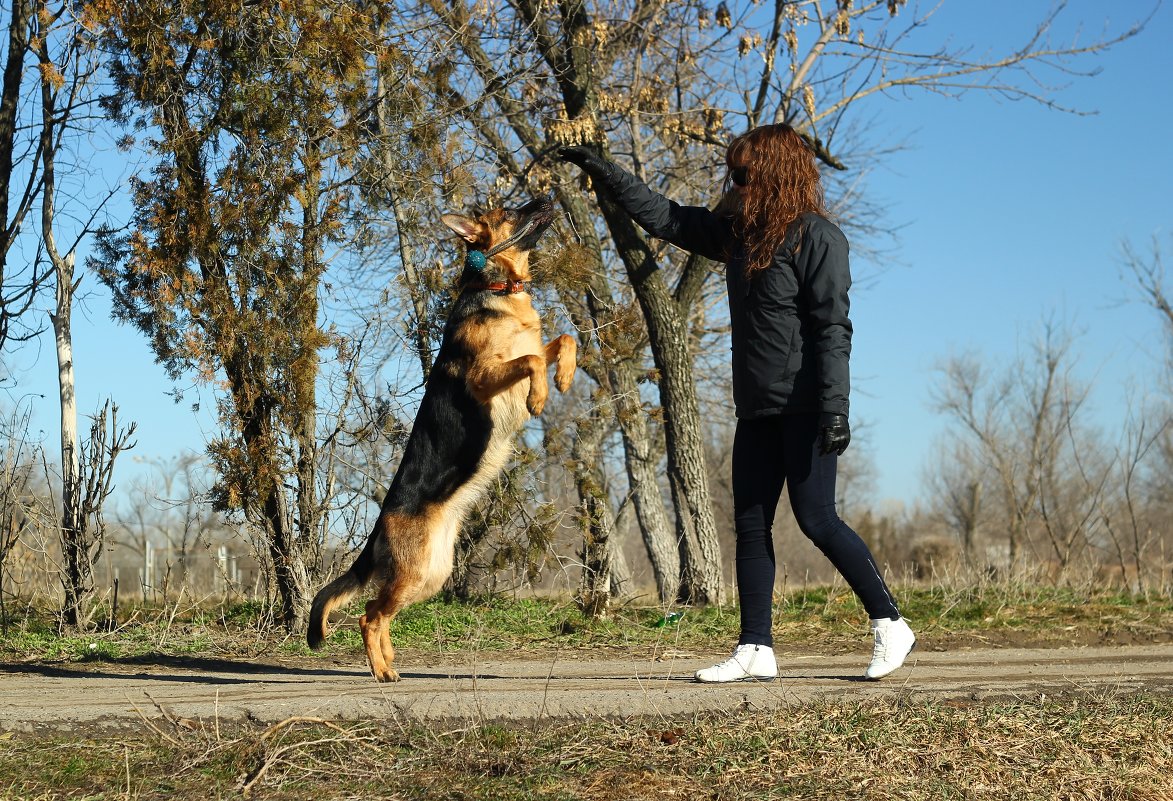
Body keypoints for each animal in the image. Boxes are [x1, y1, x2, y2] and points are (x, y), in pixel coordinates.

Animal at [304, 194, 574, 684]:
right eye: (510, 210)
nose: (548, 195)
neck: (500, 289)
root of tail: (379, 527)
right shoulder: (485, 377)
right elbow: (529, 361)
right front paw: (540, 396)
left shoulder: (530, 349)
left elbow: (563, 340)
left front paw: (563, 375)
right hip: (413, 576)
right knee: (368, 616)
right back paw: (382, 672)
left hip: (430, 575)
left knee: (377, 613)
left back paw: (390, 665)